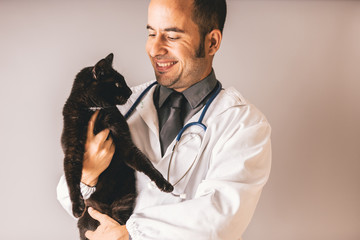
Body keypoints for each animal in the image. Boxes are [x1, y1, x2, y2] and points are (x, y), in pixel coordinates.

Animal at [61, 53, 174, 239]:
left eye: (124, 81)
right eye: (117, 83)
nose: (129, 91)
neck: (94, 109)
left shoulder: (123, 139)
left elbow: (145, 163)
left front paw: (163, 183)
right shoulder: (72, 149)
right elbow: (72, 178)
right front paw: (76, 206)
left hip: (122, 207)